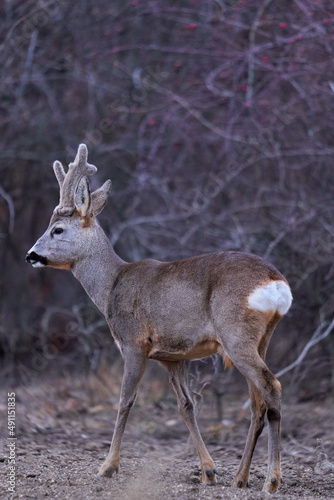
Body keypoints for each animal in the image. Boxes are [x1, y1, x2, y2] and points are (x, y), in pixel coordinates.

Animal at [26, 144, 292, 492]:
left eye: (57, 229)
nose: (30, 255)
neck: (111, 285)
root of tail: (277, 282)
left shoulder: (133, 342)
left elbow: (125, 400)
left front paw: (108, 467)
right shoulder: (171, 356)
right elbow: (186, 406)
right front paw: (208, 471)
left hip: (236, 336)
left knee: (272, 387)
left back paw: (271, 480)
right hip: (261, 338)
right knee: (258, 403)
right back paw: (240, 478)